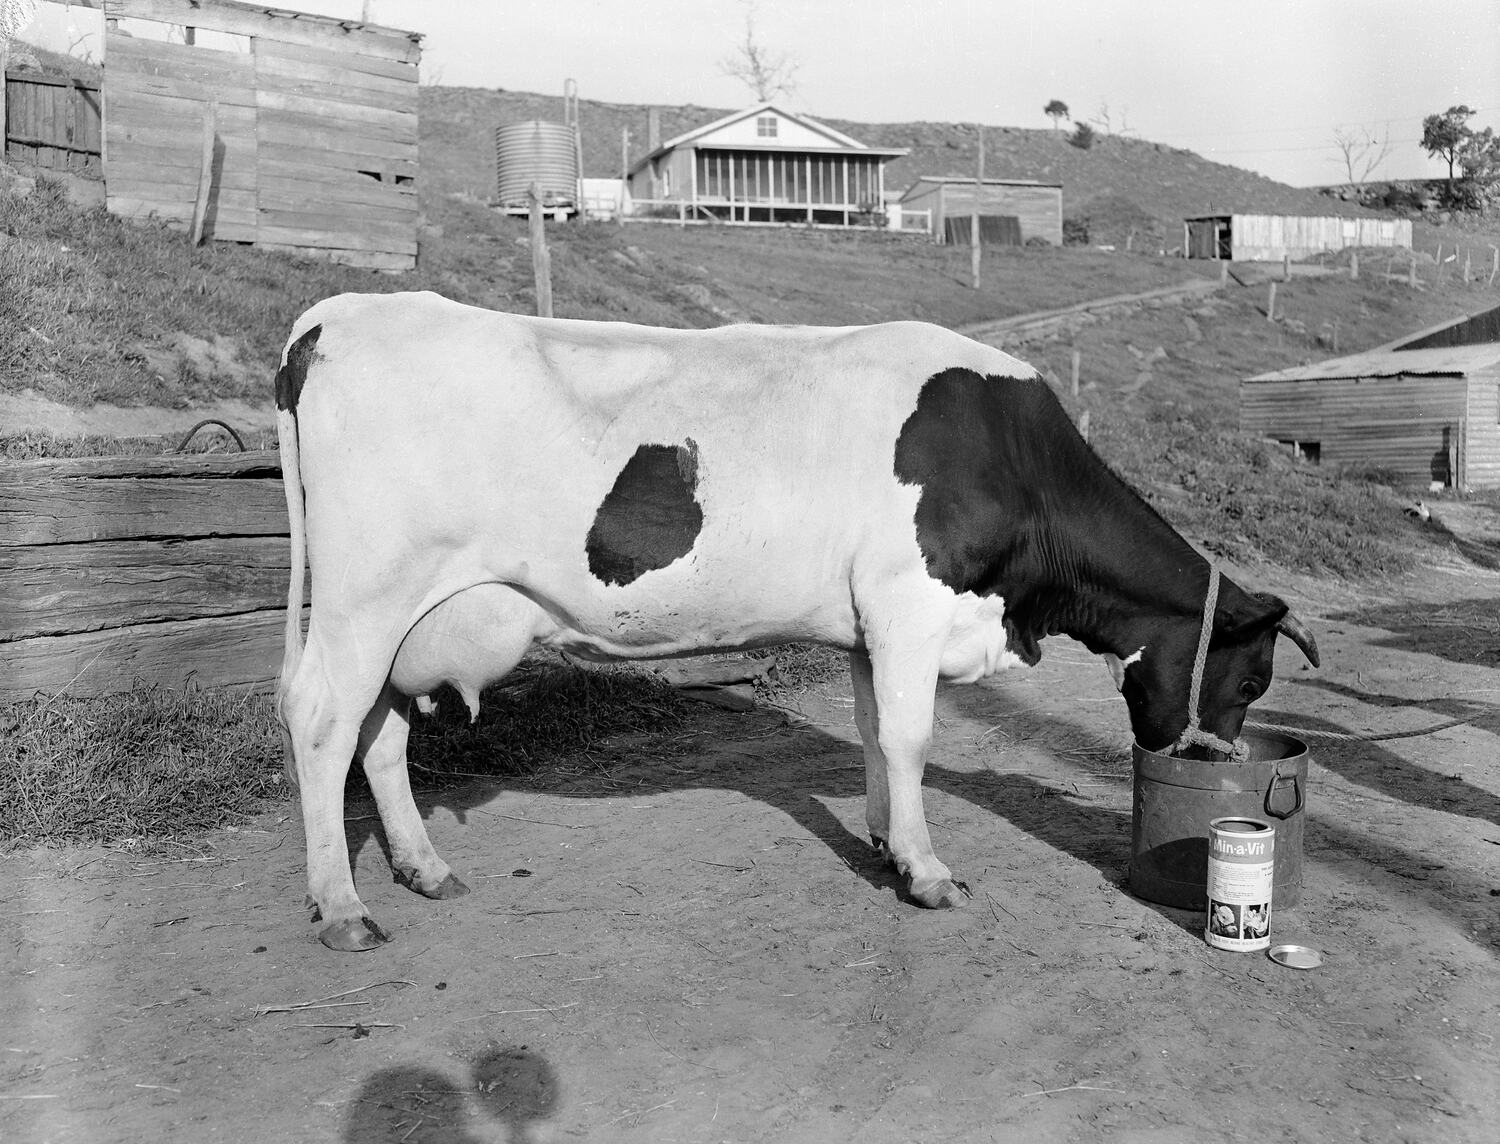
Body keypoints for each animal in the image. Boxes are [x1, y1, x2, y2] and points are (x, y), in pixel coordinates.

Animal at [276, 290, 1320, 953]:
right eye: (1253, 676)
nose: (1201, 764)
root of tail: (334, 315)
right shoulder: (907, 602)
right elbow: (910, 736)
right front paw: (927, 871)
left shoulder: (867, 624)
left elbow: (872, 731)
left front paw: (883, 840)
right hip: (366, 597)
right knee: (324, 721)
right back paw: (340, 907)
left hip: (402, 617)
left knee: (378, 735)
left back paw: (422, 867)